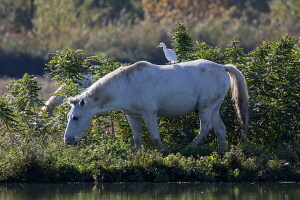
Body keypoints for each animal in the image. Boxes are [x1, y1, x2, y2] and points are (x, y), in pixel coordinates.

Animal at [63, 60, 248, 151]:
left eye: (75, 117)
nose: (67, 140)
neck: (126, 86)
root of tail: (222, 67)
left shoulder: (149, 114)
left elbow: (155, 137)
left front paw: (163, 152)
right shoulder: (133, 116)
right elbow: (137, 138)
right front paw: (138, 155)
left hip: (206, 107)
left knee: (206, 128)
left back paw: (188, 148)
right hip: (214, 108)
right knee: (220, 129)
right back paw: (222, 152)